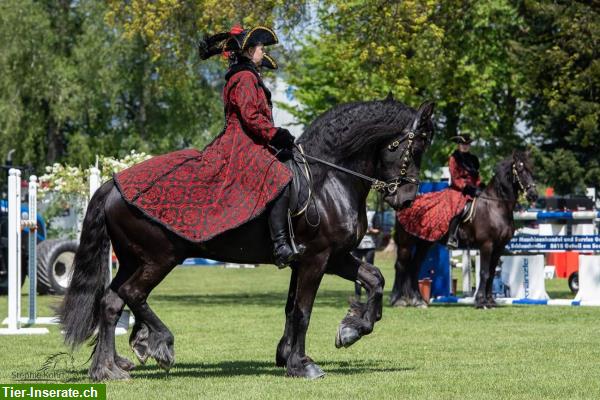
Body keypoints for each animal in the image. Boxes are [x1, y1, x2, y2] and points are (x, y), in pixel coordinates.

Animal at [58, 97, 436, 382]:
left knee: (111, 302)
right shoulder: (317, 259)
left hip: (133, 258)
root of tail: (112, 185)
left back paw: (109, 368)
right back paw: (157, 344)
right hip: (160, 257)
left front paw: (349, 330)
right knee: (132, 294)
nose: (406, 200)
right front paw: (302, 365)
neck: (329, 179)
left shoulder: (331, 258)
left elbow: (372, 280)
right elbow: (303, 311)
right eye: (409, 148)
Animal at [390, 151, 540, 310]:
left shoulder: (499, 247)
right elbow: (484, 273)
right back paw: (397, 300)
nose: (533, 195)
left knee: (414, 266)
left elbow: (492, 273)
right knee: (401, 265)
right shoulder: (487, 245)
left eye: (531, 170)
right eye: (520, 170)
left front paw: (490, 301)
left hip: (424, 244)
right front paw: (481, 302)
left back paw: (418, 301)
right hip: (406, 243)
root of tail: (404, 204)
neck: (495, 206)